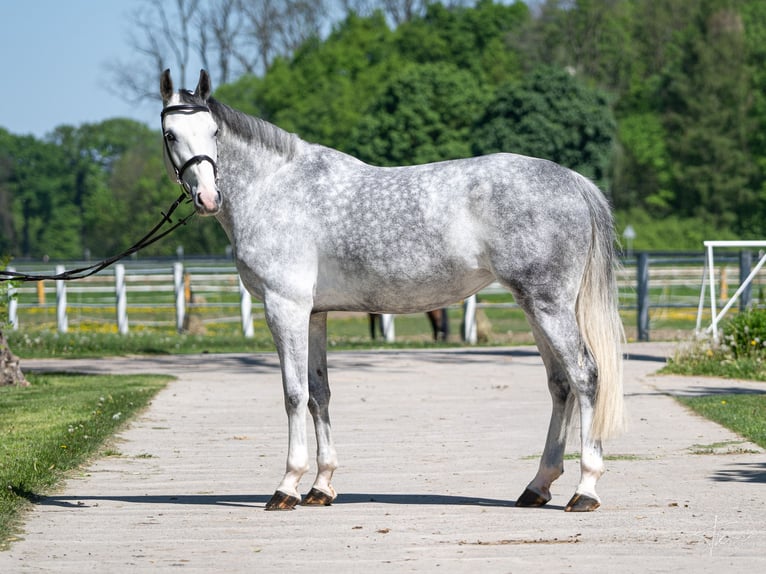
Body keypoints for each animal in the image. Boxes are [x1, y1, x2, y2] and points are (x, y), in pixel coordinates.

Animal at [160, 70, 624, 516]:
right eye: (170, 134)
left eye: (213, 131)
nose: (207, 197)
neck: (275, 187)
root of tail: (573, 180)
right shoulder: (314, 314)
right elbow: (319, 394)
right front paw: (321, 487)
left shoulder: (284, 306)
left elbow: (294, 394)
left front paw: (287, 486)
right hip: (534, 306)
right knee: (560, 384)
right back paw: (537, 486)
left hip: (548, 306)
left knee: (585, 376)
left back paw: (585, 490)